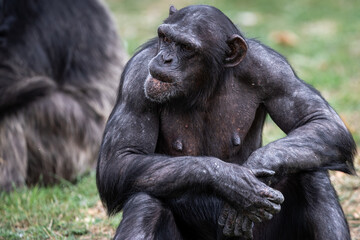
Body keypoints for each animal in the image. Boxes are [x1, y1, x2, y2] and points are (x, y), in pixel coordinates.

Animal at [96, 4, 358, 240]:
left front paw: (260, 163)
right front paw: (232, 180)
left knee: (312, 174)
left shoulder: (274, 70)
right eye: (165, 38)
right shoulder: (137, 75)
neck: (205, 84)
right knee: (145, 198)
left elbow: (320, 120)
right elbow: (121, 158)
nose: (165, 58)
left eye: (186, 47)